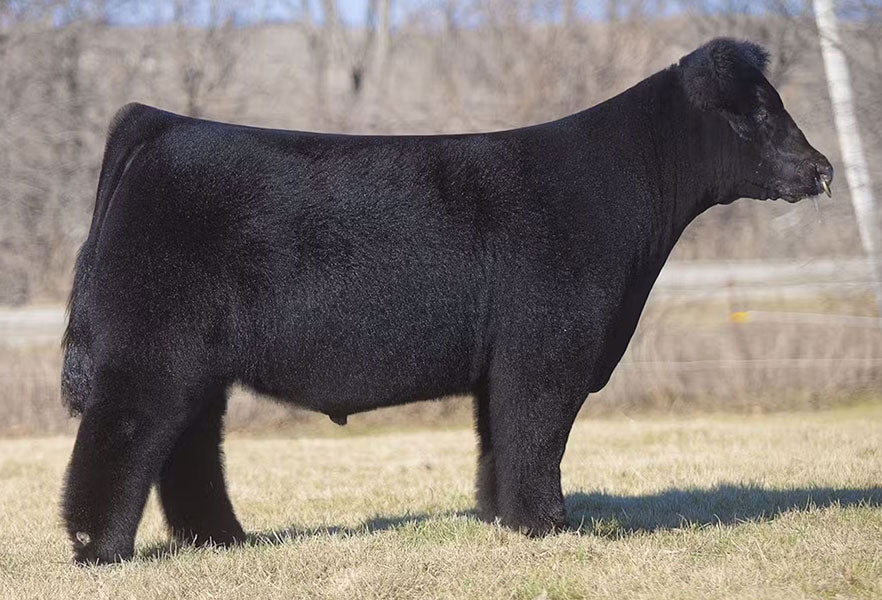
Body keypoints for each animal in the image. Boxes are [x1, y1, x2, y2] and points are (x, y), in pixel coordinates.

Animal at [60, 38, 833, 564]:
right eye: (759, 113)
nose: (823, 169)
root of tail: (161, 124)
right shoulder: (547, 349)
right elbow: (536, 435)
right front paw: (548, 525)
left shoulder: (506, 361)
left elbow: (501, 440)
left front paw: (502, 518)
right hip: (151, 351)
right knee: (122, 436)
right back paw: (99, 548)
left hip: (196, 363)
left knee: (187, 446)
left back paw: (222, 540)